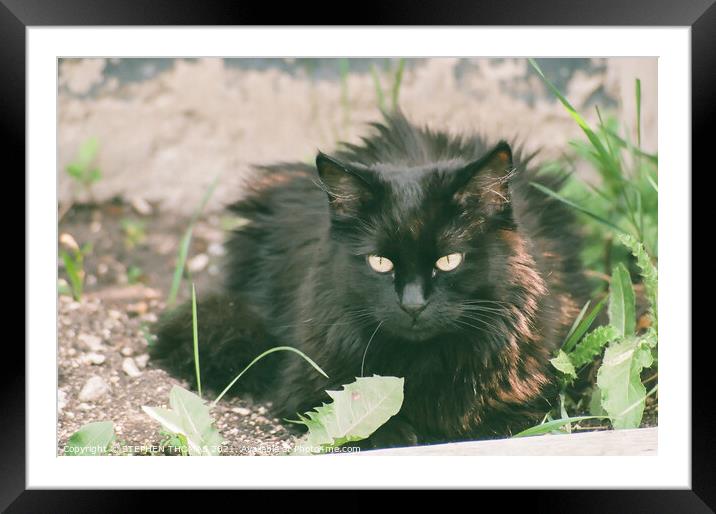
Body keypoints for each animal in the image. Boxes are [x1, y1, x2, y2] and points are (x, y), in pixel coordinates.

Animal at [151, 110, 588, 446]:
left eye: (449, 260)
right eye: (380, 263)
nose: (413, 304)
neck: (421, 364)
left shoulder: (525, 398)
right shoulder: (309, 386)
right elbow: (362, 419)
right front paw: (396, 430)